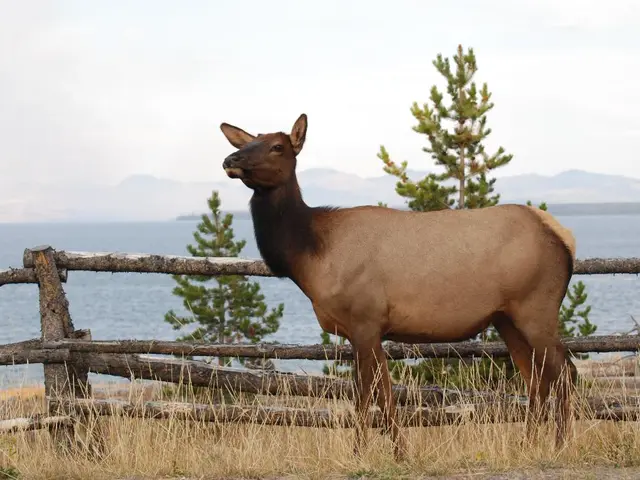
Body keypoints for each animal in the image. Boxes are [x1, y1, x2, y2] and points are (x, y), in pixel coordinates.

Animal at [219, 113, 578, 460]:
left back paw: (561, 446)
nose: (230, 159)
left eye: (277, 146)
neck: (310, 257)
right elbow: (383, 392)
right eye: (247, 142)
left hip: (536, 307)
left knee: (565, 373)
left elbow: (368, 393)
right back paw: (527, 444)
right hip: (507, 318)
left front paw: (366, 453)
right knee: (537, 379)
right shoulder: (367, 329)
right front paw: (395, 451)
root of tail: (564, 237)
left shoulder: (365, 319)